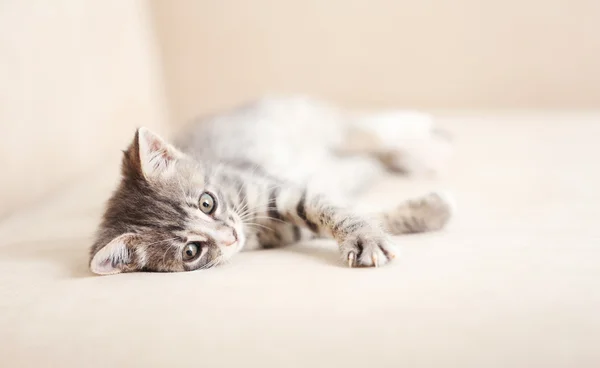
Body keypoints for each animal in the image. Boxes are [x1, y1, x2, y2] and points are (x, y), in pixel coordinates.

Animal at [91, 96, 452, 274]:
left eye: (207, 203)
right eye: (191, 251)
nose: (231, 235)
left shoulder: (283, 190)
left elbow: (337, 211)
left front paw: (367, 239)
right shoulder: (289, 231)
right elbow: (364, 212)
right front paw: (429, 212)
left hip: (331, 127)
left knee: (375, 128)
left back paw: (426, 142)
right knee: (371, 157)